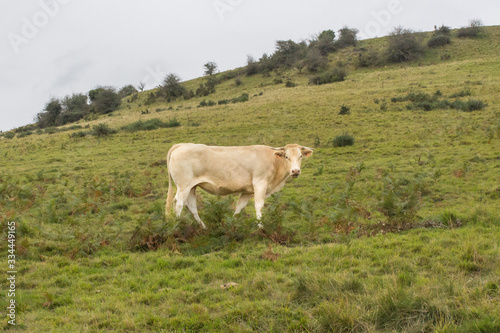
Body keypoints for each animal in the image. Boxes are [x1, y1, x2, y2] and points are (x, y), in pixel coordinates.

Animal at [165, 143, 312, 228]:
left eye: (300, 156)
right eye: (287, 156)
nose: (295, 171)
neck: (274, 161)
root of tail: (181, 145)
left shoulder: (247, 191)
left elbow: (240, 206)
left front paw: (233, 223)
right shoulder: (260, 183)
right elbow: (259, 205)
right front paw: (260, 226)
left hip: (191, 187)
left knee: (191, 206)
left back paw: (203, 227)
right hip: (183, 186)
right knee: (178, 203)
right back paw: (178, 226)